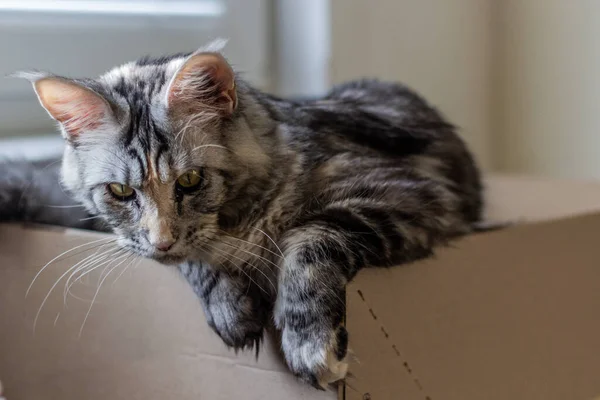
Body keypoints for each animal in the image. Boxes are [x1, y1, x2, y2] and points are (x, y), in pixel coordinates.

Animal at [0, 40, 480, 388]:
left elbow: (307, 240)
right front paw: (232, 310)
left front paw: (309, 345)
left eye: (191, 180)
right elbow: (199, 261)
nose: (162, 241)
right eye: (121, 191)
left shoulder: (408, 192)